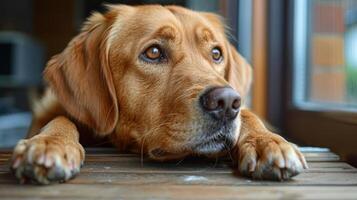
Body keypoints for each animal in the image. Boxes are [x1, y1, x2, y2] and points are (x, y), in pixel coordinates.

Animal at [9, 4, 308, 184]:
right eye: (153, 52)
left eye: (216, 53)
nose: (226, 102)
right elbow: (61, 118)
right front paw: (49, 143)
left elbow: (249, 116)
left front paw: (267, 142)